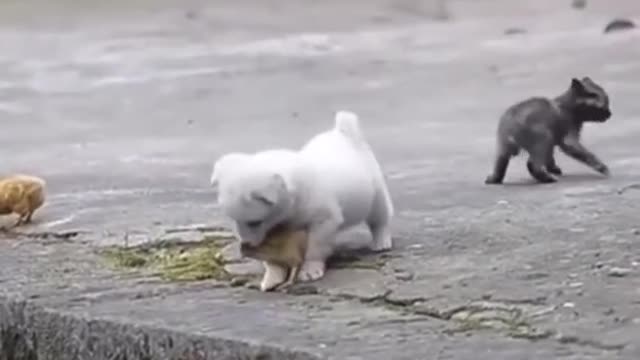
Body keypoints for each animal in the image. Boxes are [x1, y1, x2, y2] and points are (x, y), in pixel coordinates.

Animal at [210, 111, 392, 288]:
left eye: (254, 222)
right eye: (233, 220)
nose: (246, 244)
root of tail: (343, 132)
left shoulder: (324, 220)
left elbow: (315, 248)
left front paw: (310, 270)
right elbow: (273, 255)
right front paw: (273, 276)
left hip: (376, 195)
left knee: (380, 218)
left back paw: (381, 241)